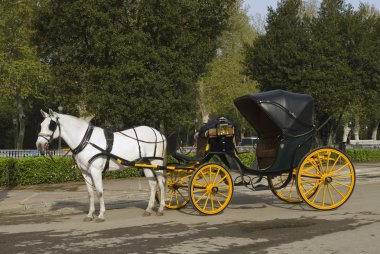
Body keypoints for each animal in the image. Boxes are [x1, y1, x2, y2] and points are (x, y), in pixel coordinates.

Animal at [36, 109, 166, 222]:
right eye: (41, 124)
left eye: (51, 125)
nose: (39, 145)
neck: (86, 140)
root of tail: (159, 133)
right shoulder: (85, 172)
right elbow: (90, 193)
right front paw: (89, 215)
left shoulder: (96, 171)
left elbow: (99, 192)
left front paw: (101, 215)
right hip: (146, 163)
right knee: (153, 184)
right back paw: (148, 209)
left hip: (156, 163)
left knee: (161, 183)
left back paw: (160, 209)